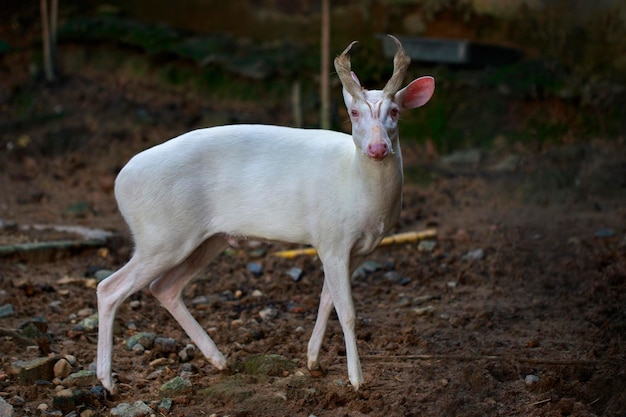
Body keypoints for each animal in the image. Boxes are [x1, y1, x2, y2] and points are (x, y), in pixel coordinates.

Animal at [96, 35, 434, 390]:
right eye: (354, 112)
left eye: (395, 110)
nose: (377, 148)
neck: (357, 189)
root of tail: (120, 182)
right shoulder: (331, 238)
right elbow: (348, 312)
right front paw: (356, 380)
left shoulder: (358, 250)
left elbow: (326, 301)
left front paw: (313, 361)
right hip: (160, 234)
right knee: (109, 288)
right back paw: (107, 381)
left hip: (206, 239)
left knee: (165, 287)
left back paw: (219, 360)